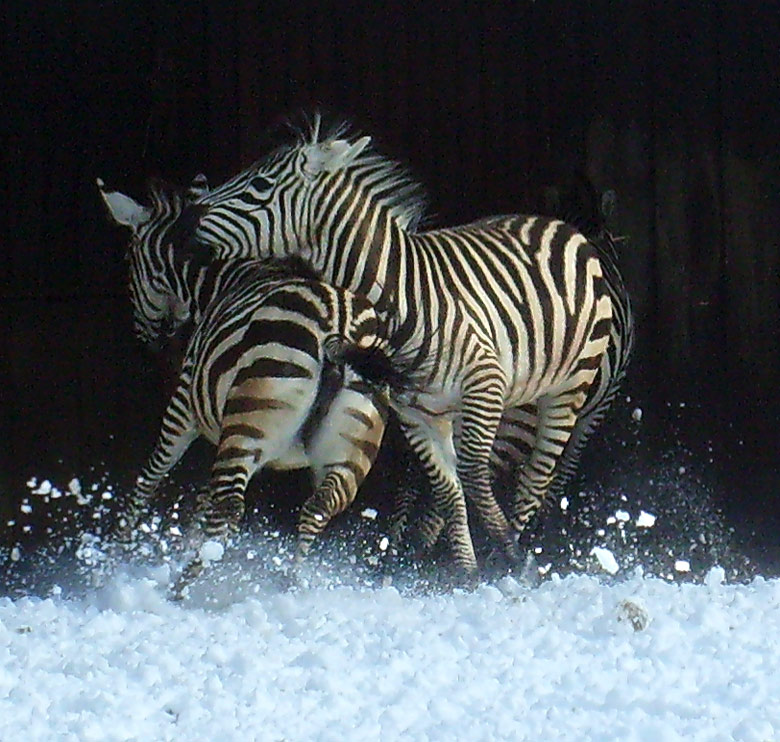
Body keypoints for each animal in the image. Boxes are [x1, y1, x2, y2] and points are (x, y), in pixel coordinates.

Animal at [98, 179, 394, 592]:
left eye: (129, 262)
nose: (149, 343)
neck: (216, 284)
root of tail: (339, 324)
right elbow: (200, 502)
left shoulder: (184, 404)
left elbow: (152, 474)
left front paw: (118, 552)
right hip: (351, 447)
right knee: (318, 508)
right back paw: (291, 584)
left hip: (246, 425)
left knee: (230, 507)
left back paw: (183, 586)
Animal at [175, 115, 616, 576]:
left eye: (259, 185)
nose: (181, 224)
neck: (405, 300)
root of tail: (557, 224)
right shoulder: (415, 413)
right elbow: (448, 487)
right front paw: (466, 571)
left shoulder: (484, 383)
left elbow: (474, 474)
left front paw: (507, 555)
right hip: (521, 392)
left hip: (570, 386)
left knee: (538, 473)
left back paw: (515, 544)